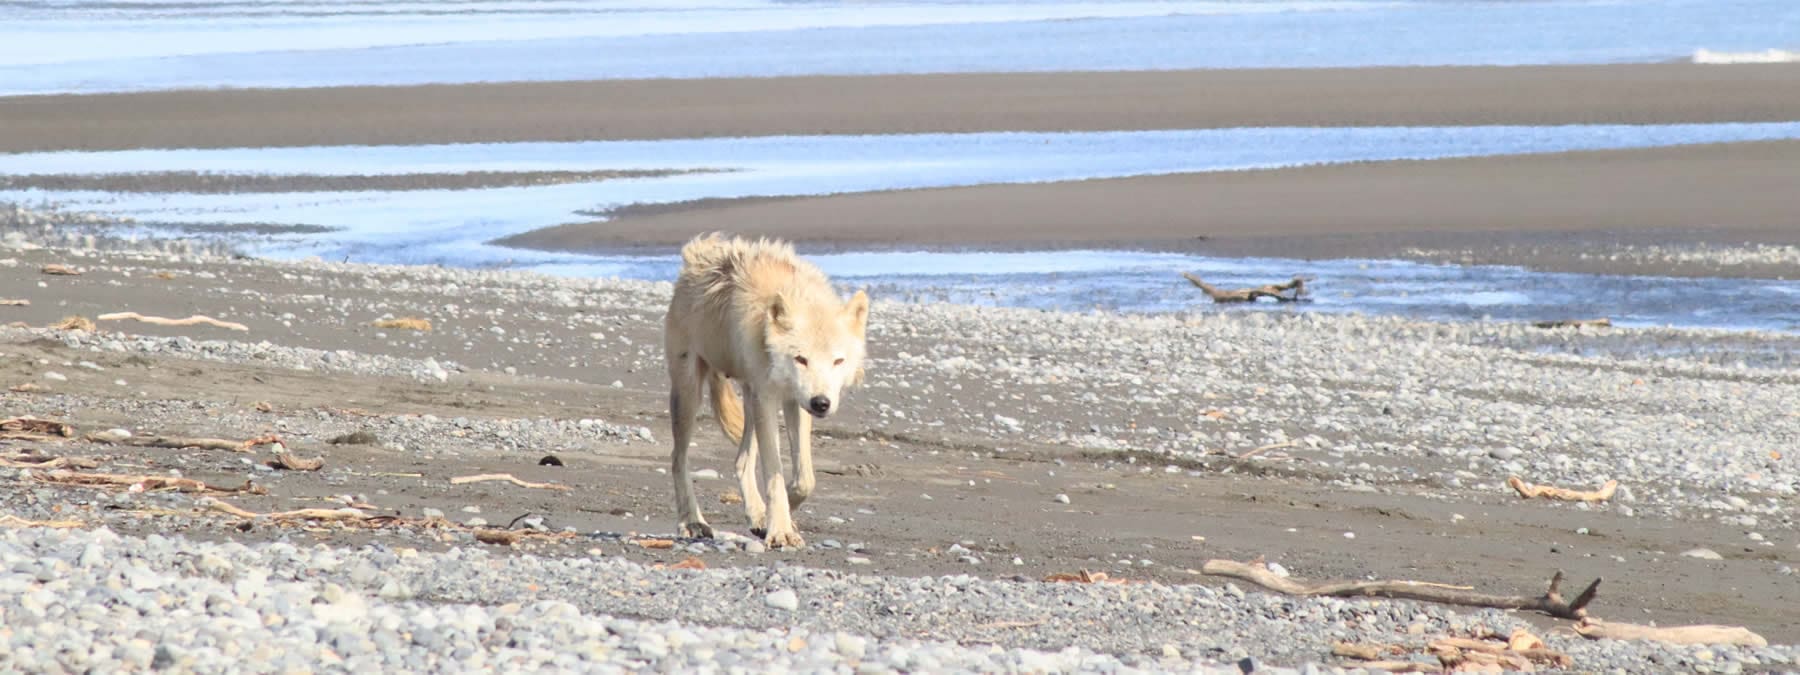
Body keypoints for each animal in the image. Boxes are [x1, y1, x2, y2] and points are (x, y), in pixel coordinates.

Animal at [664, 233, 869, 549]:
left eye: (838, 361)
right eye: (801, 359)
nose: (821, 403)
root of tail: (695, 256)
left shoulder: (795, 401)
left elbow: (804, 479)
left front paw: (778, 514)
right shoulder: (769, 399)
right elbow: (774, 472)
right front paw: (781, 529)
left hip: (750, 397)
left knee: (741, 460)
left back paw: (757, 515)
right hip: (690, 395)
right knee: (678, 458)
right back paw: (692, 521)